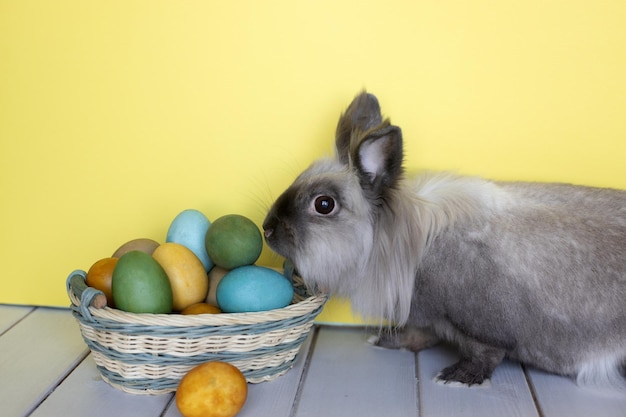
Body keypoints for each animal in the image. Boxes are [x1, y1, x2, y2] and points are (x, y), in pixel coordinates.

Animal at [262, 91, 624, 390]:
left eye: (324, 204)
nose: (266, 229)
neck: (401, 245)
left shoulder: (477, 323)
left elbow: (486, 353)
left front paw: (458, 378)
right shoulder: (425, 317)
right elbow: (418, 336)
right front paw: (384, 341)